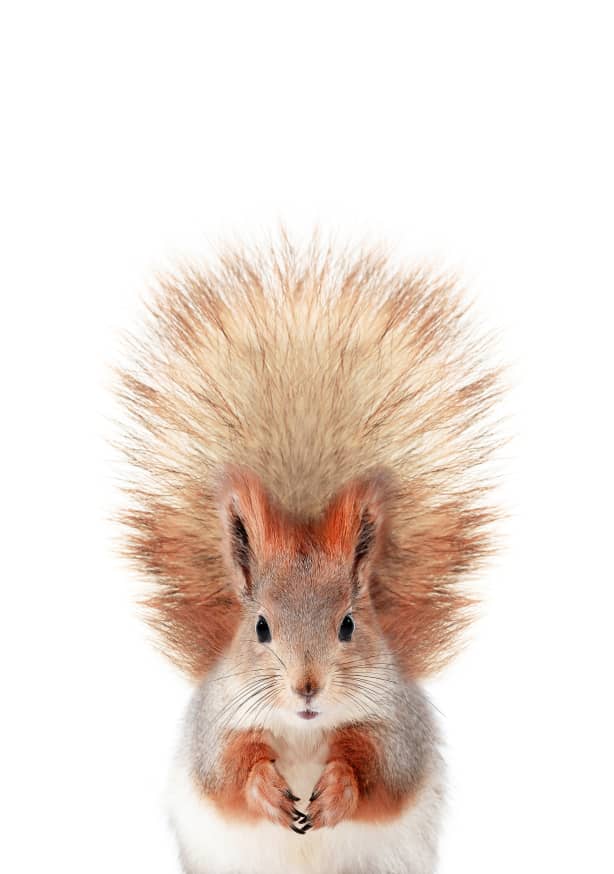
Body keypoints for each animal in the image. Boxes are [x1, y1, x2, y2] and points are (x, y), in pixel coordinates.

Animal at [114, 234, 502, 874]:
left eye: (348, 625)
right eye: (260, 627)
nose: (306, 687)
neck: (300, 731)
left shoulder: (396, 727)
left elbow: (380, 772)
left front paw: (338, 788)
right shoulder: (216, 725)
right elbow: (227, 772)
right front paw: (266, 789)